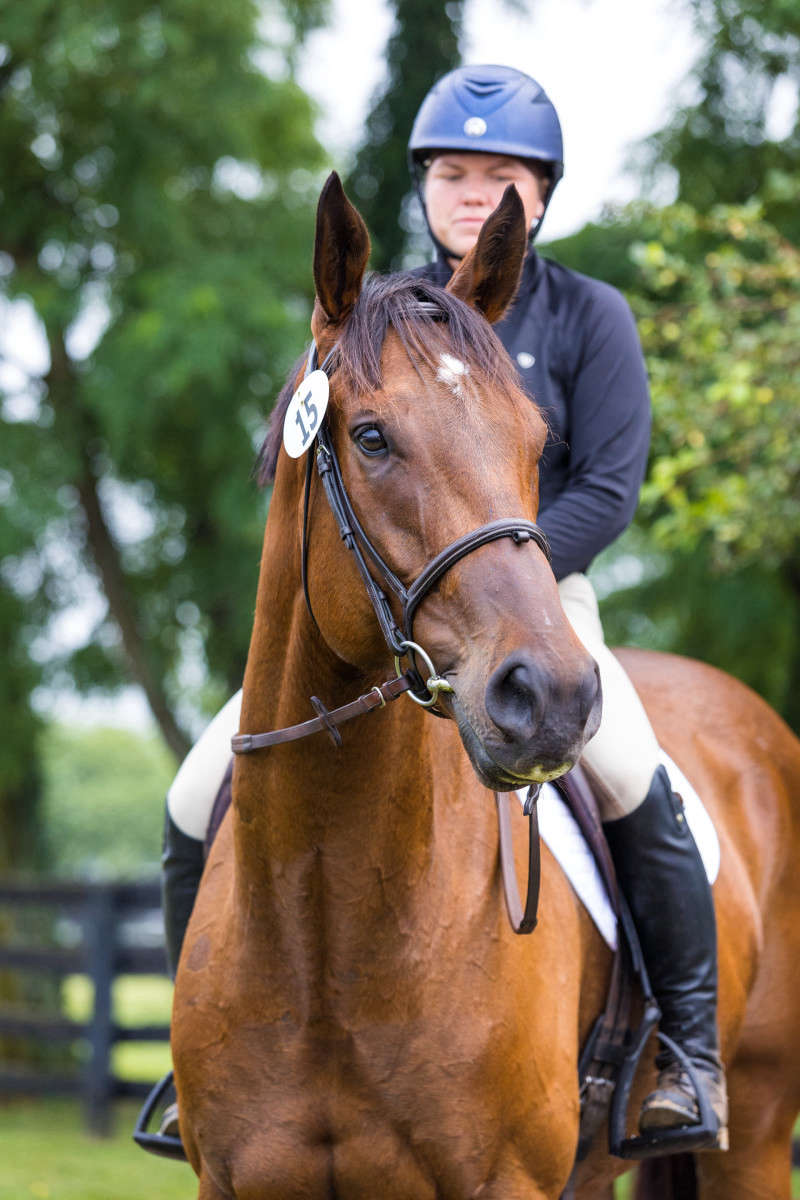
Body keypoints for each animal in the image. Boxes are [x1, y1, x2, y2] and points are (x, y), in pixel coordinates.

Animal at [172, 171, 800, 1200]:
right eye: (371, 437)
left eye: (534, 440)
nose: (553, 700)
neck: (325, 927)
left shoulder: (504, 1182)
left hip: (753, 1133)